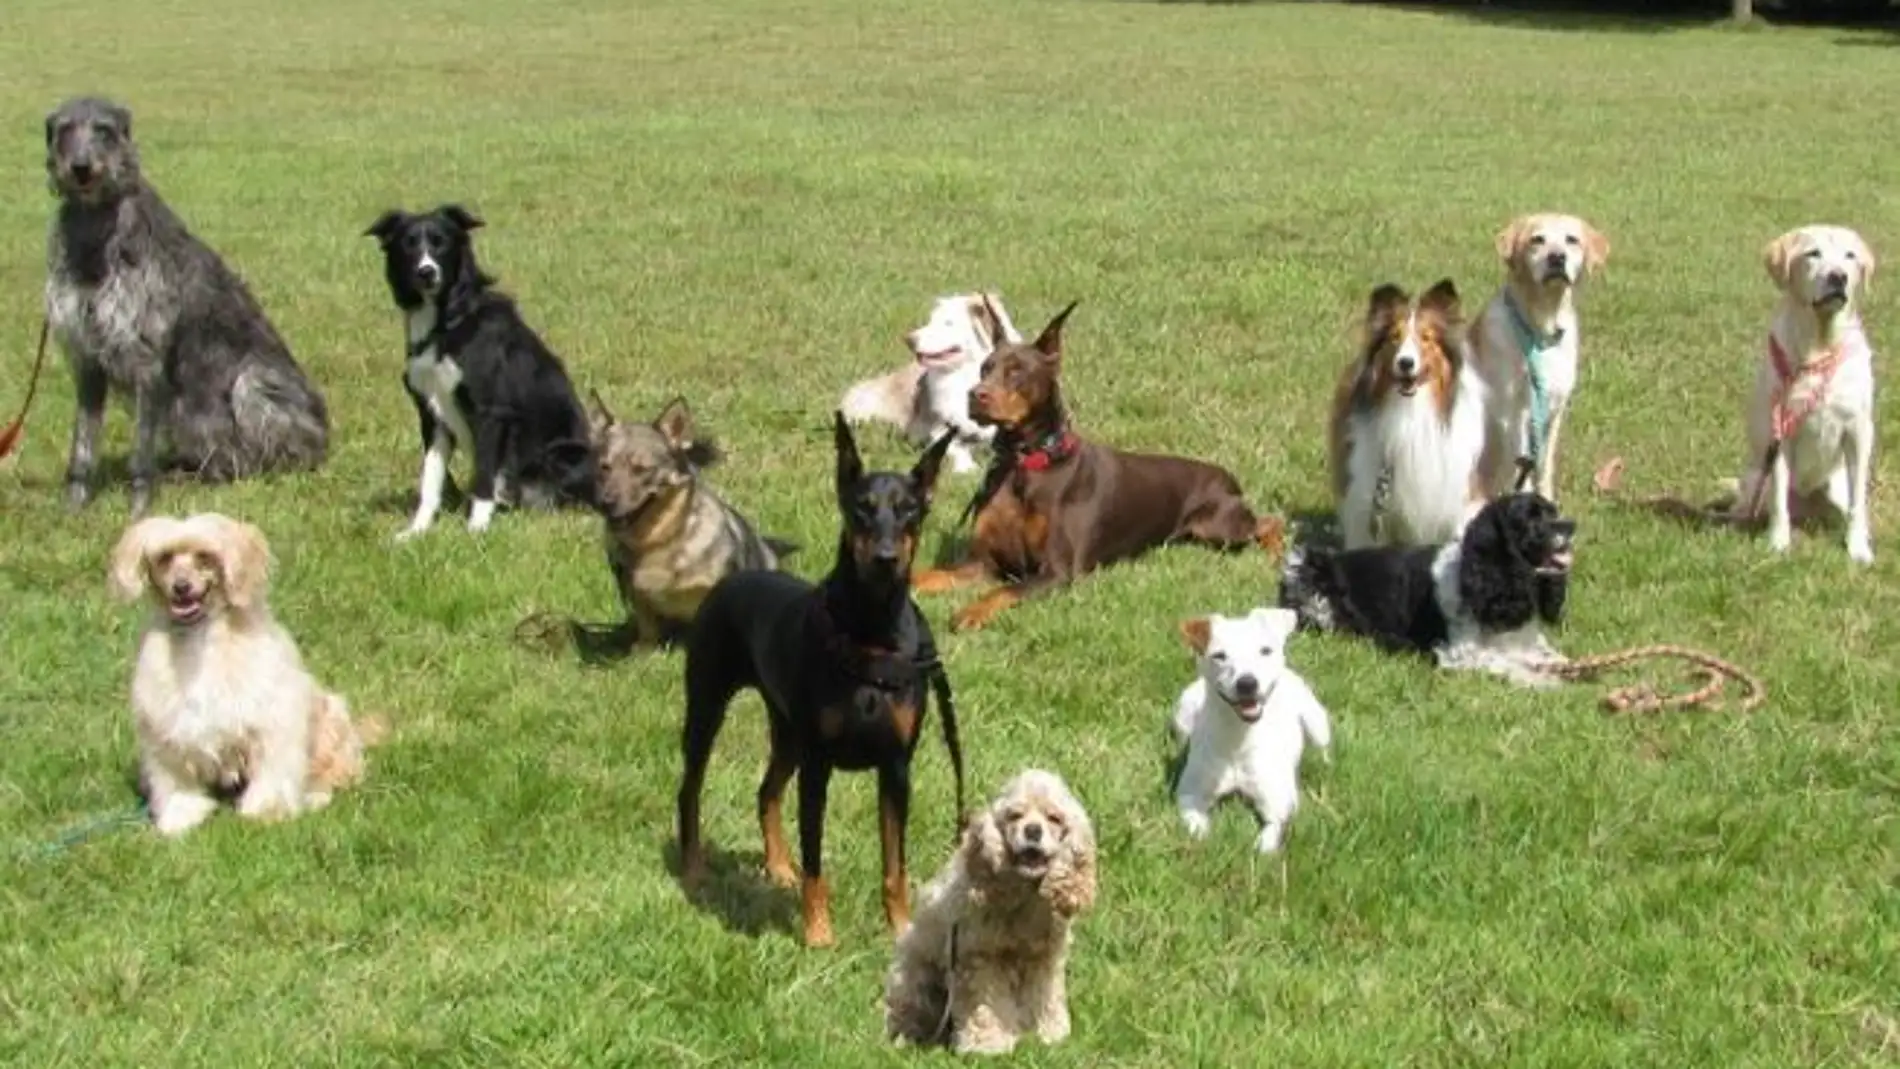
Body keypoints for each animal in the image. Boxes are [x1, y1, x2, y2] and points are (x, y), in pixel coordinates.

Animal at [577, 391, 786, 649]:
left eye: (641, 470)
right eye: (604, 468)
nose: (605, 503)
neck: (658, 541)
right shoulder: (636, 596)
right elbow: (647, 629)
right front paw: (643, 651)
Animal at [885, 770, 1102, 1055]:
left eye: (1054, 818)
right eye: (1015, 816)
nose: (1033, 830)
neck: (1024, 897)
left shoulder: (1043, 959)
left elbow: (1044, 998)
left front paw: (1049, 1035)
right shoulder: (981, 958)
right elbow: (986, 1006)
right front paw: (987, 1045)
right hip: (915, 978)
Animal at [1170, 611, 1337, 854]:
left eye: (1265, 650)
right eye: (1219, 656)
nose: (1247, 683)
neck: (1238, 736)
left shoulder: (1280, 803)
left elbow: (1271, 833)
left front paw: (1262, 849)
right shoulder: (1189, 794)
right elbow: (1195, 821)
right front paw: (1203, 838)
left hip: (1317, 723)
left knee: (1322, 747)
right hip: (1182, 715)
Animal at [1474, 216, 1611, 505]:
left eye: (1572, 239)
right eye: (1537, 240)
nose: (1556, 258)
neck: (1541, 330)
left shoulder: (1553, 411)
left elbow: (1544, 464)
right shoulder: (1513, 413)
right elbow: (1520, 465)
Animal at [1740, 226, 1869, 569]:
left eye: (1850, 256)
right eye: (1813, 253)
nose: (1838, 277)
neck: (1819, 347)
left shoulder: (1859, 432)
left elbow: (1859, 501)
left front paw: (1858, 547)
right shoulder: (1780, 435)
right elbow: (1778, 498)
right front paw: (1778, 542)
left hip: (1834, 487)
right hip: (1753, 479)